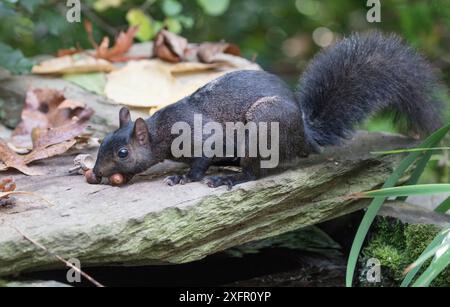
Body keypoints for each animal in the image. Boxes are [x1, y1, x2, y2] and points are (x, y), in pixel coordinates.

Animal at [92, 32, 442, 189]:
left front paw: (184, 177)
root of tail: (304, 135)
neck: (160, 129)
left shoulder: (199, 135)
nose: (96, 172)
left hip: (262, 126)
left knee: (255, 173)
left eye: (122, 153)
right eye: (102, 143)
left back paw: (229, 178)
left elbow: (200, 160)